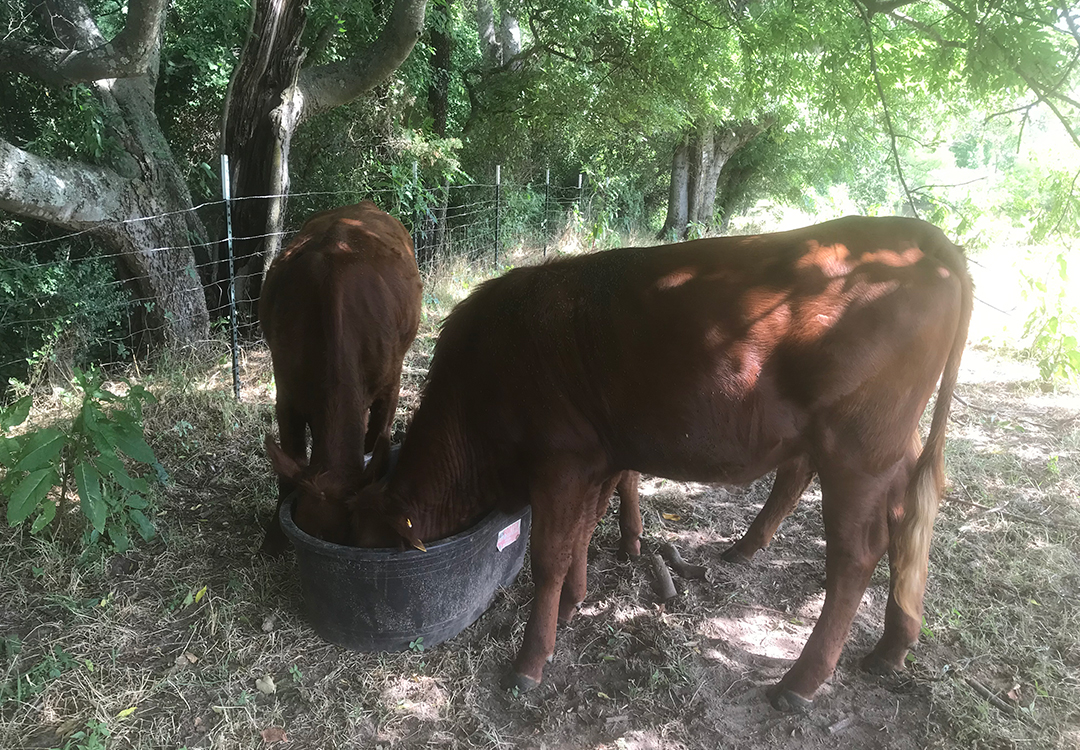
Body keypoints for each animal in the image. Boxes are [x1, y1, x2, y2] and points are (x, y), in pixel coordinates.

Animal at [259, 203, 423, 553]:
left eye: (349, 535)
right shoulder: (286, 395)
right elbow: (288, 469)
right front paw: (273, 541)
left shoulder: (391, 384)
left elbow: (376, 444)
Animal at [352, 216, 972, 708]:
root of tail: (922, 234)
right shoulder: (599, 458)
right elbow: (582, 532)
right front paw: (574, 603)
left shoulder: (561, 460)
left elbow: (550, 555)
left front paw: (530, 661)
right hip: (890, 446)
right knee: (907, 518)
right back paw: (891, 646)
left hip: (858, 447)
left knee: (856, 552)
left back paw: (799, 682)